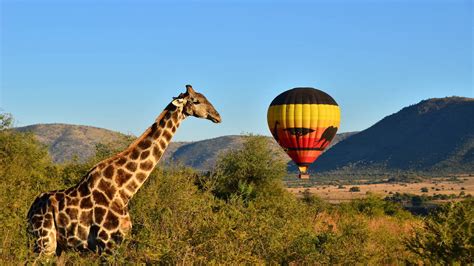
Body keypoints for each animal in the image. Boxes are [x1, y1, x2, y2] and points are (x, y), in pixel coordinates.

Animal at [27, 85, 222, 256]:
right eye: (196, 101)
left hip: (60, 247)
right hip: (44, 242)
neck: (125, 189)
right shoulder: (107, 245)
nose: (217, 116)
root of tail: (30, 211)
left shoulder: (118, 242)